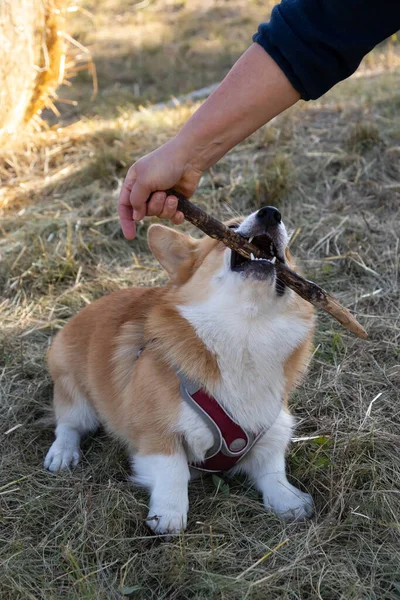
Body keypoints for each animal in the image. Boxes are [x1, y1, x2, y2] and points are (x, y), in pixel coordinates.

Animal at [44, 206, 316, 536]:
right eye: (230, 227)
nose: (271, 213)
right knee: (67, 424)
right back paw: (62, 453)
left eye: (287, 252)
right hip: (75, 394)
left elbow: (272, 468)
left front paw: (288, 501)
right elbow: (172, 471)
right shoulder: (156, 433)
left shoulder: (273, 426)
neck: (246, 332)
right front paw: (169, 515)